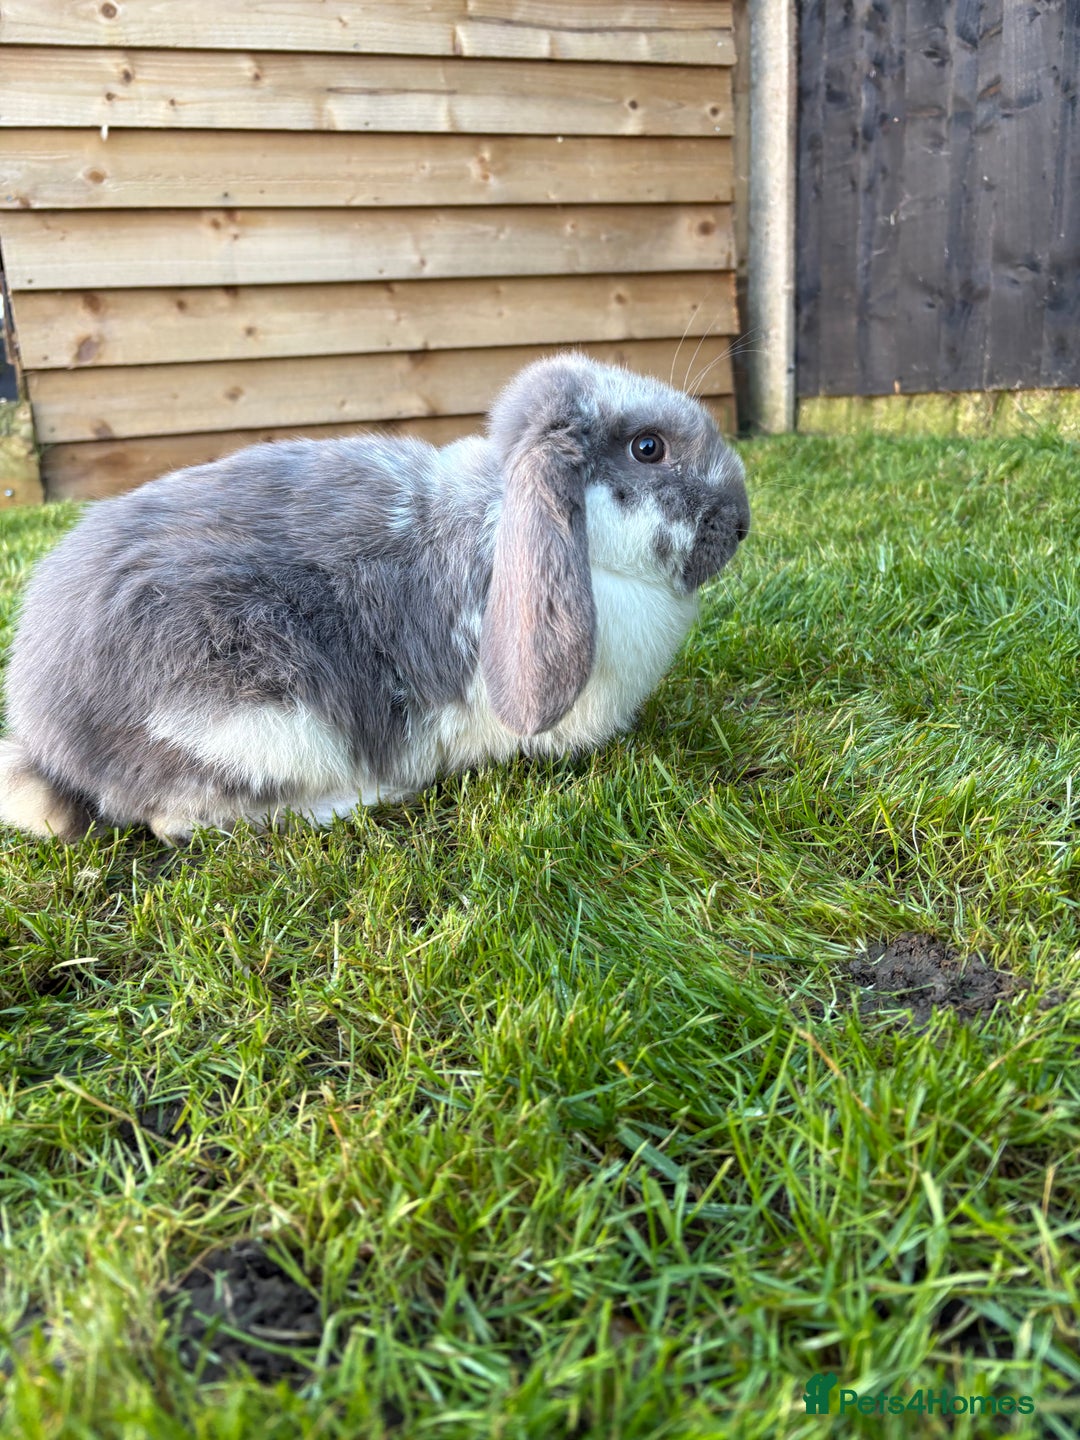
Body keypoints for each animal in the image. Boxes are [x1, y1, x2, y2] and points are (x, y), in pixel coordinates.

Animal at [0, 353, 749, 844]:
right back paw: (359, 800)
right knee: (178, 819)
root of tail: (50, 737)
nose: (740, 524)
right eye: (648, 448)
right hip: (246, 714)